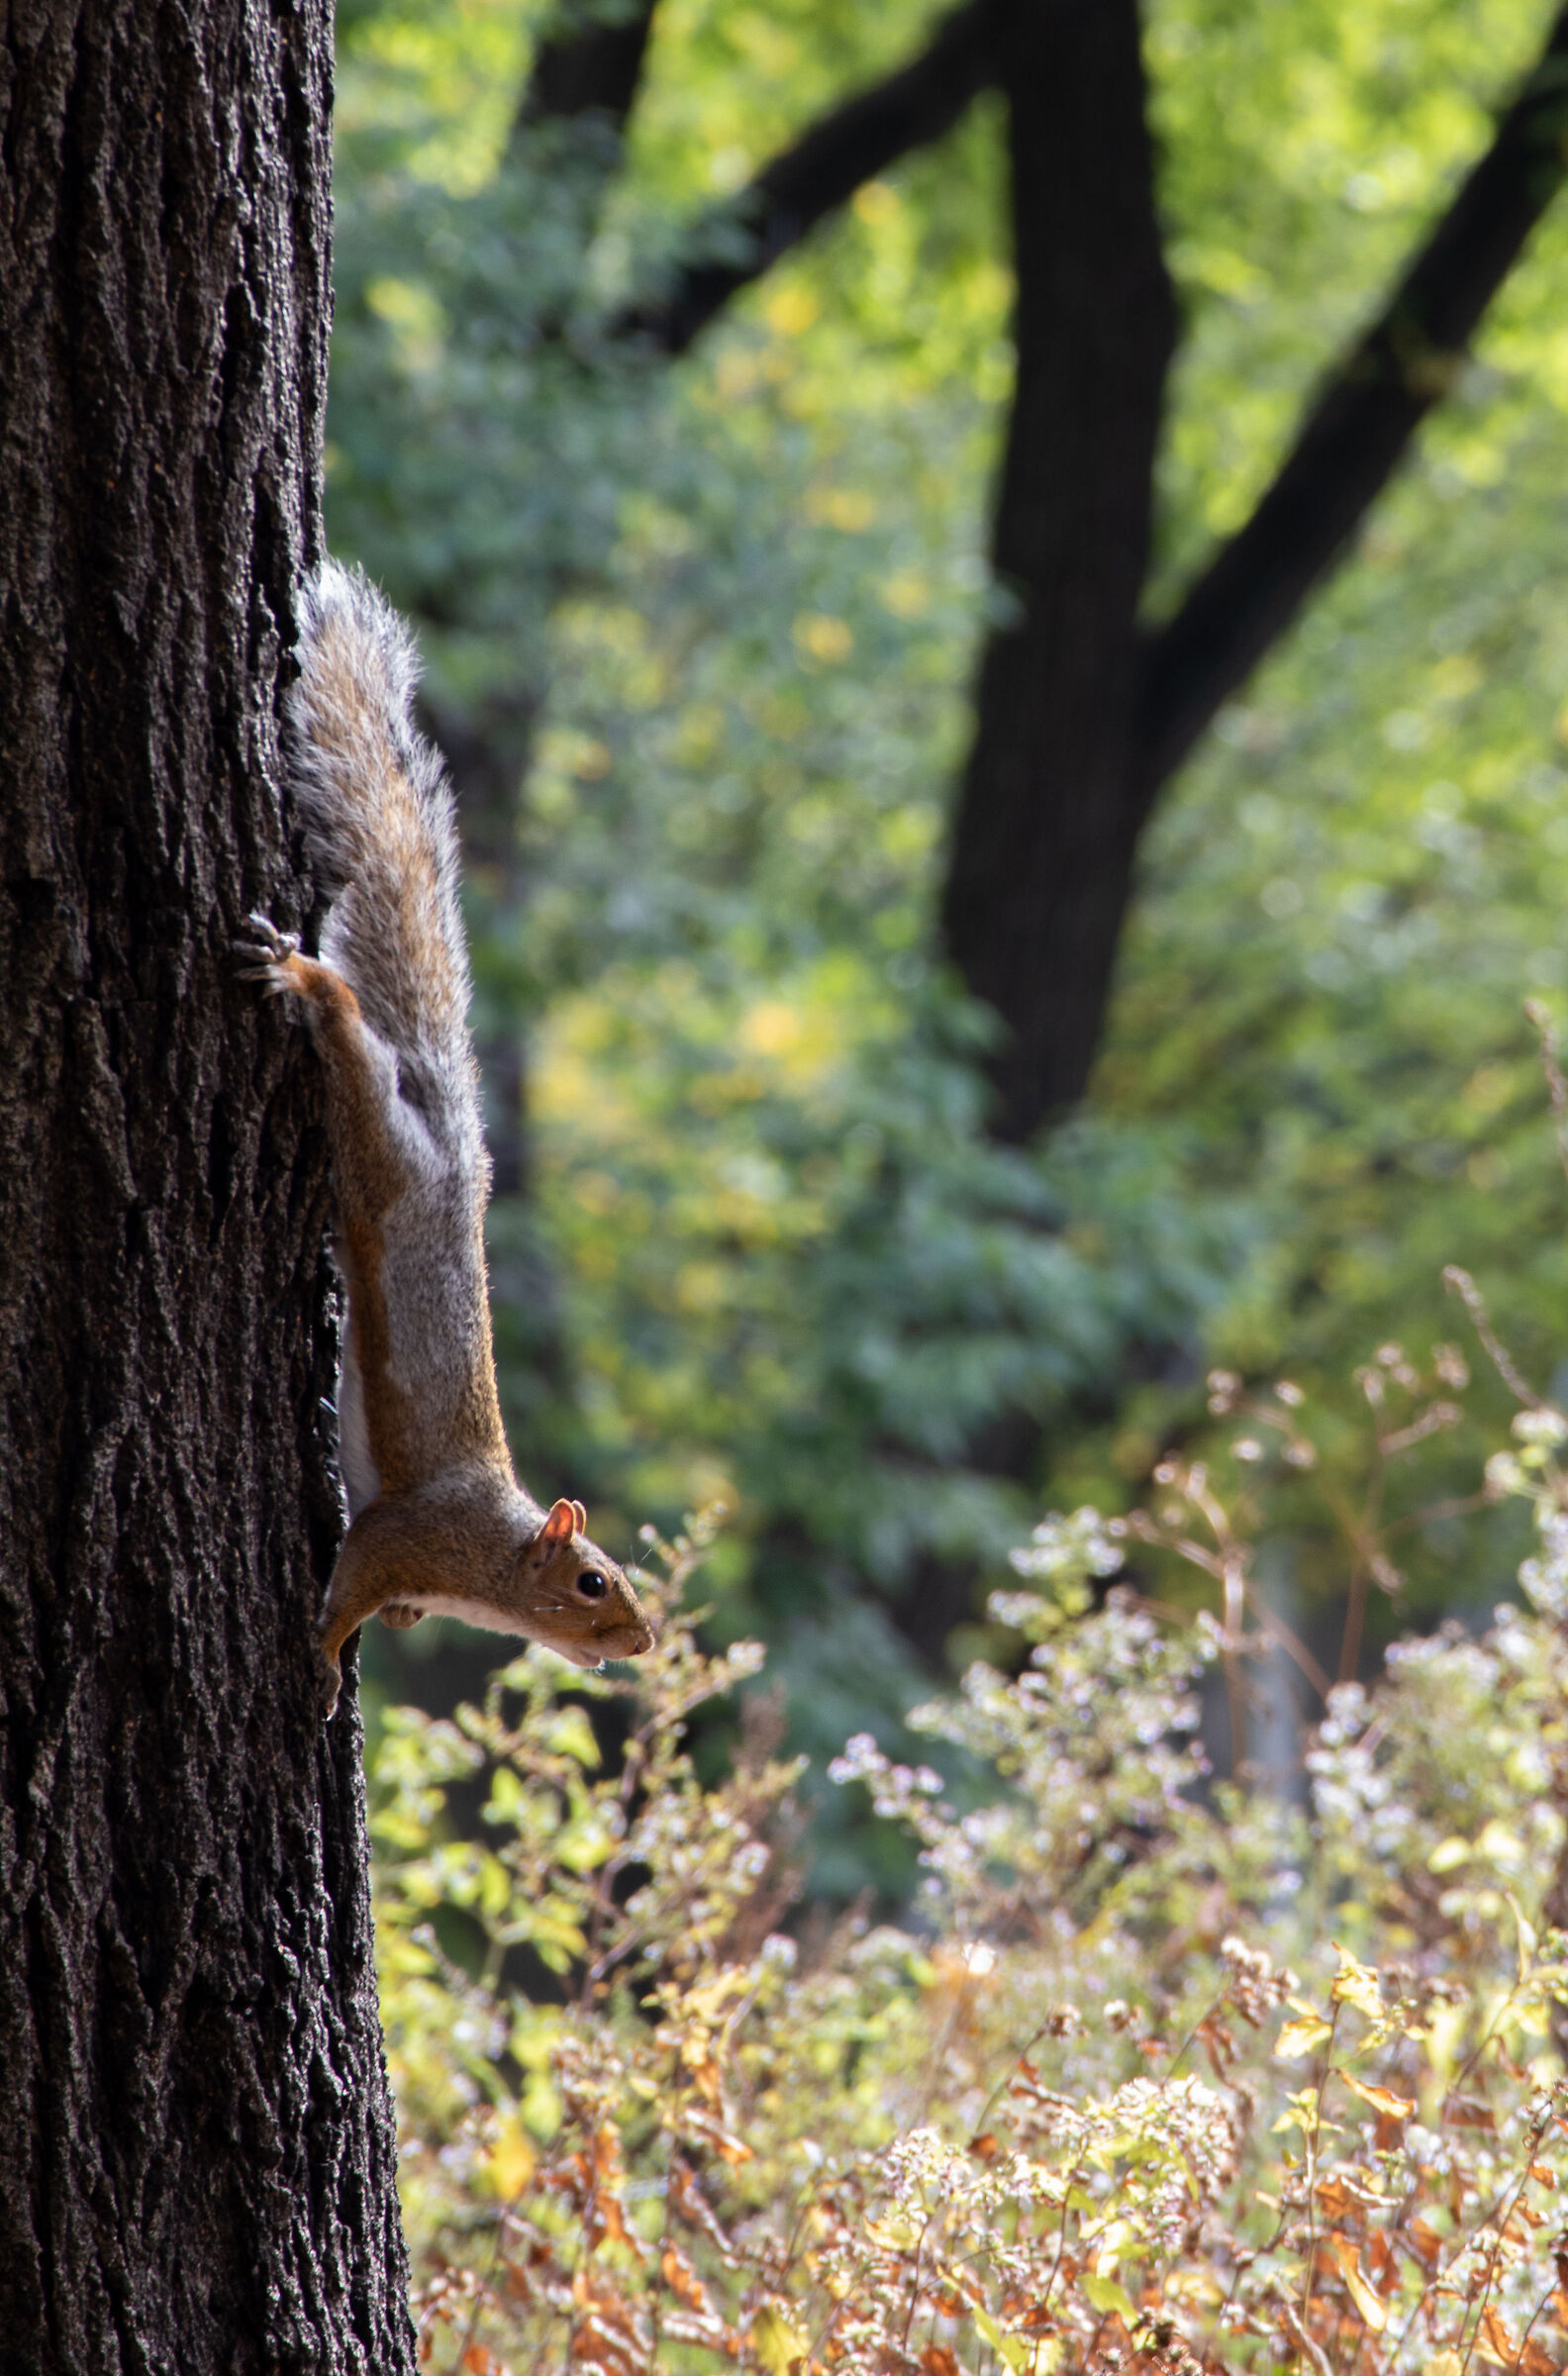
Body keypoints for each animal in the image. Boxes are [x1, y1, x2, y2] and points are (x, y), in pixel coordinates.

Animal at [235, 562, 655, 1716]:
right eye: (594, 1580)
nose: (644, 1641)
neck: (494, 1557)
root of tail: (458, 1157)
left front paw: (399, 1629)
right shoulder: (403, 1535)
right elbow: (348, 1588)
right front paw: (325, 1657)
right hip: (381, 1150)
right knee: (346, 1038)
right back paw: (306, 982)